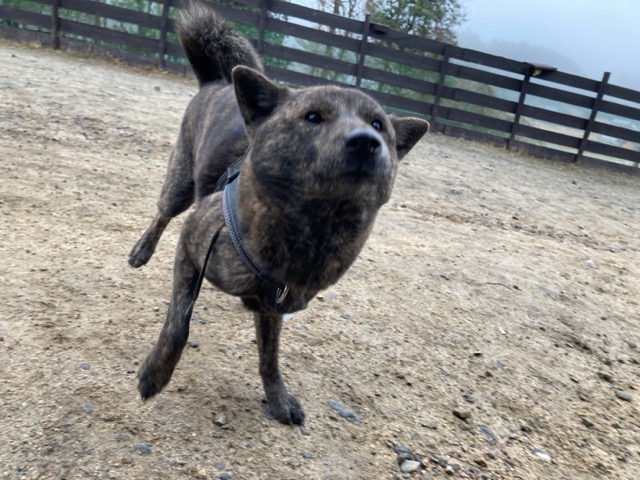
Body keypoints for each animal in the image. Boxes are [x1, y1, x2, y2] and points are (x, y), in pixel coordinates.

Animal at [129, 1, 428, 426]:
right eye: (313, 117)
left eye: (378, 125)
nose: (366, 142)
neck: (312, 227)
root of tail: (216, 83)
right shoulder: (191, 246)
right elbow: (178, 324)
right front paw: (154, 374)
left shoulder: (275, 306)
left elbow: (269, 357)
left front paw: (278, 399)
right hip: (180, 186)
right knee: (162, 214)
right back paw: (141, 251)